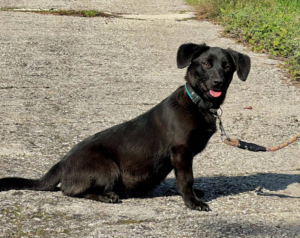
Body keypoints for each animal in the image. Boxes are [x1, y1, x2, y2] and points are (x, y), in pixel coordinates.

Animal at [0, 43, 251, 211]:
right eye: (206, 64)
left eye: (227, 67)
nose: (218, 83)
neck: (198, 102)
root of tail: (62, 162)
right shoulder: (181, 152)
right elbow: (186, 179)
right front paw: (192, 202)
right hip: (108, 168)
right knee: (70, 191)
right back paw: (107, 196)